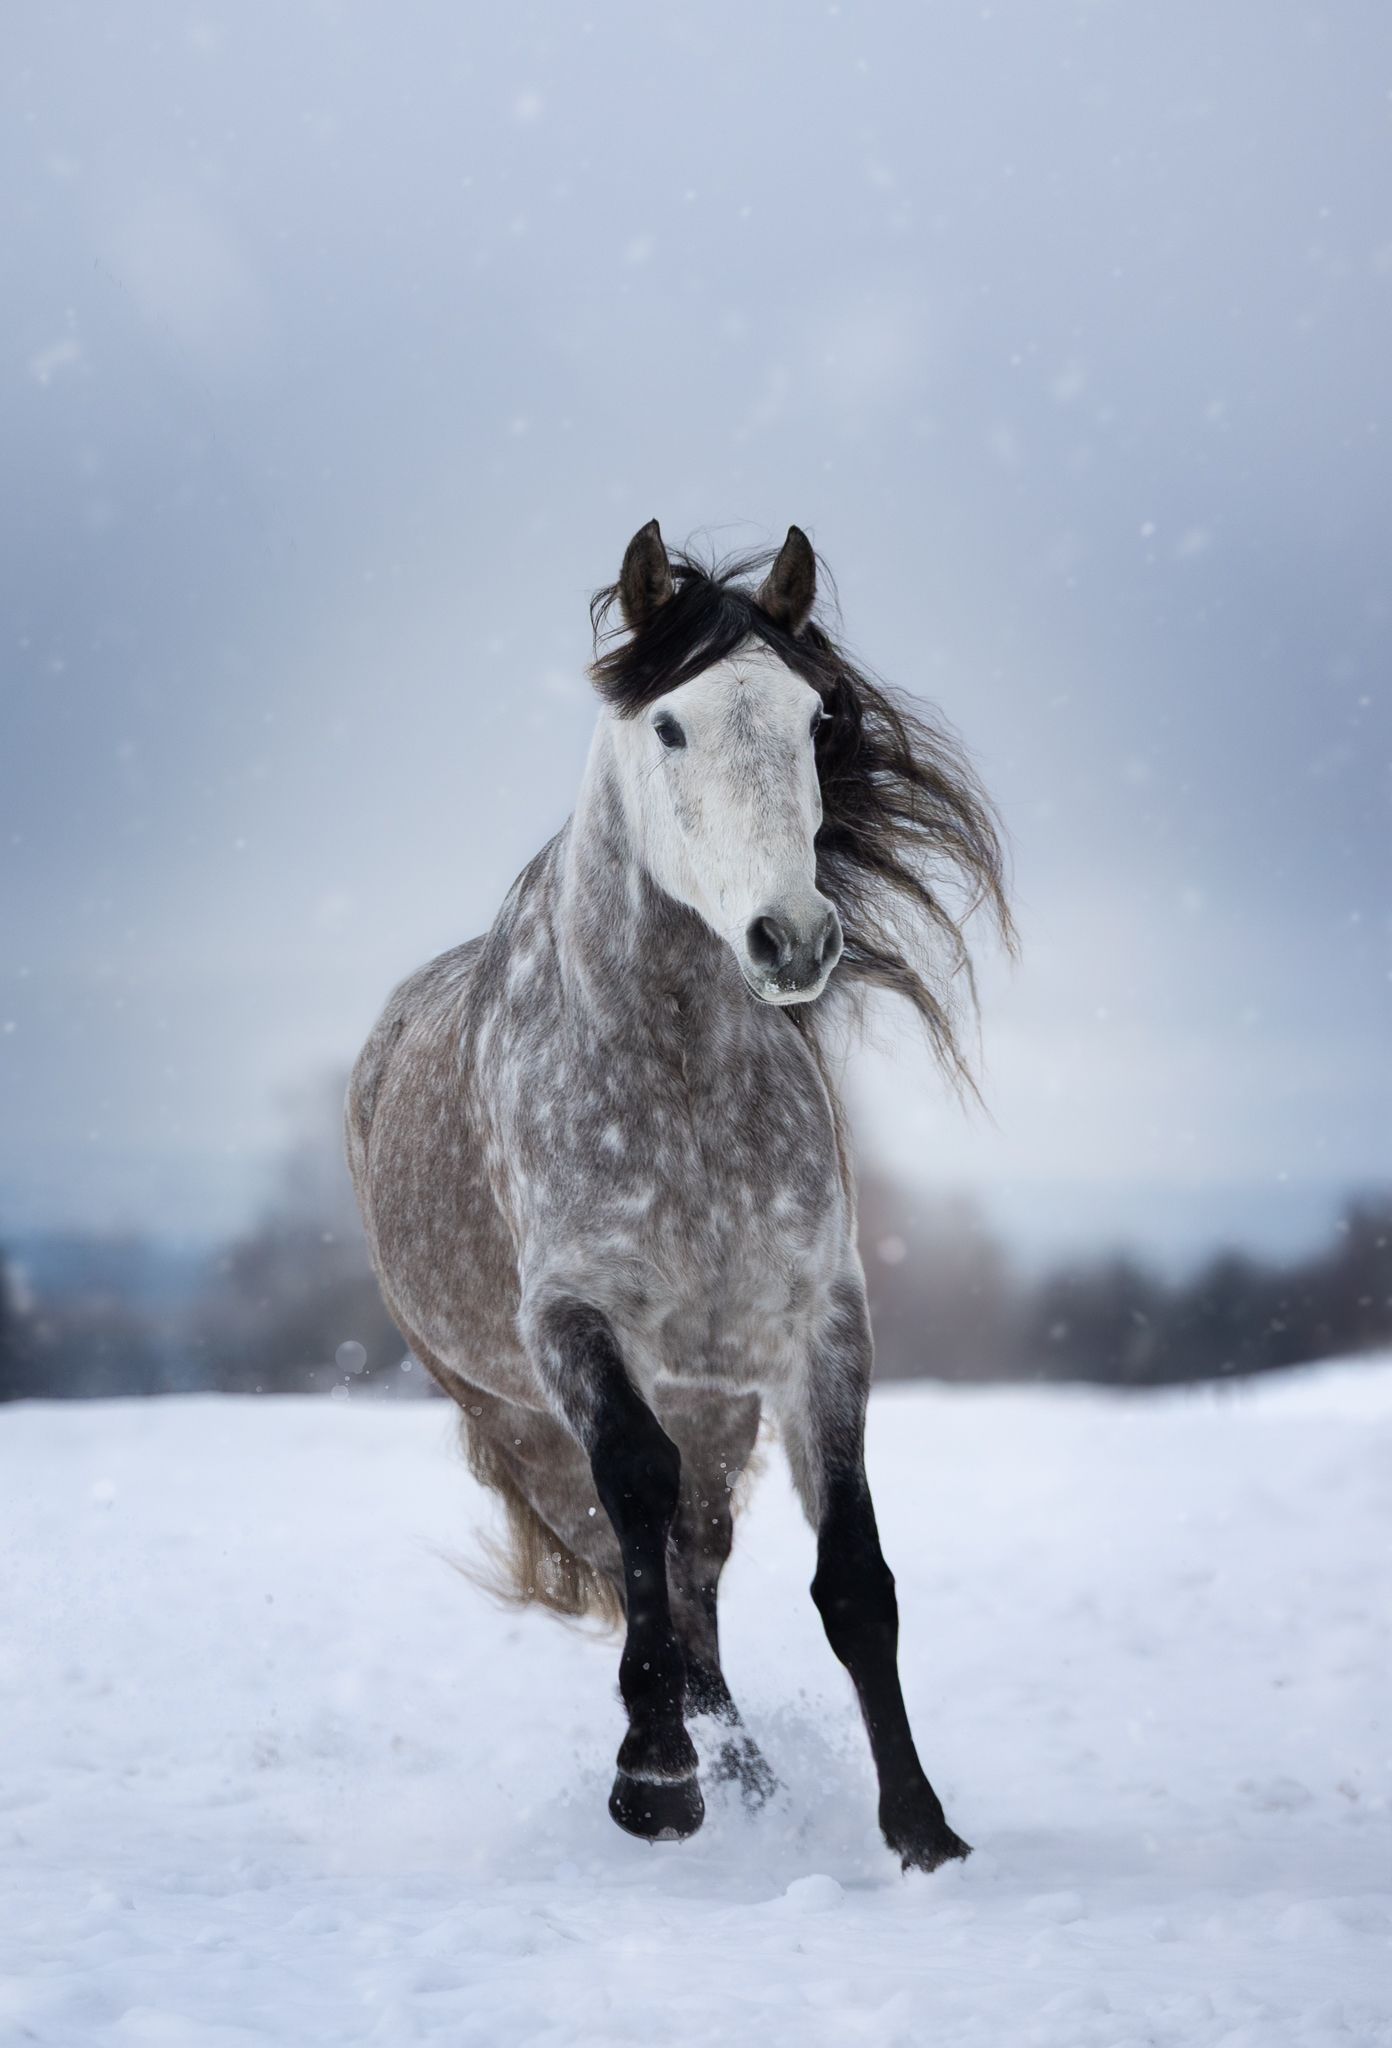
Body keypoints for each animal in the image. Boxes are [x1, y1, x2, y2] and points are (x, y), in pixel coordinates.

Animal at [346, 521, 1013, 1868]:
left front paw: (921, 1828)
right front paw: (652, 1779)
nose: (792, 940)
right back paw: (693, 1770)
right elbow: (636, 1506)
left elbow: (855, 1577)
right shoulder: (573, 1323)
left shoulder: (820, 1322)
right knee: (637, 1556)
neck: (681, 1083)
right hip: (527, 1424)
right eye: (670, 725)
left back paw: (746, 1778)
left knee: (696, 1574)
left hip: (718, 1408)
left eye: (817, 718)